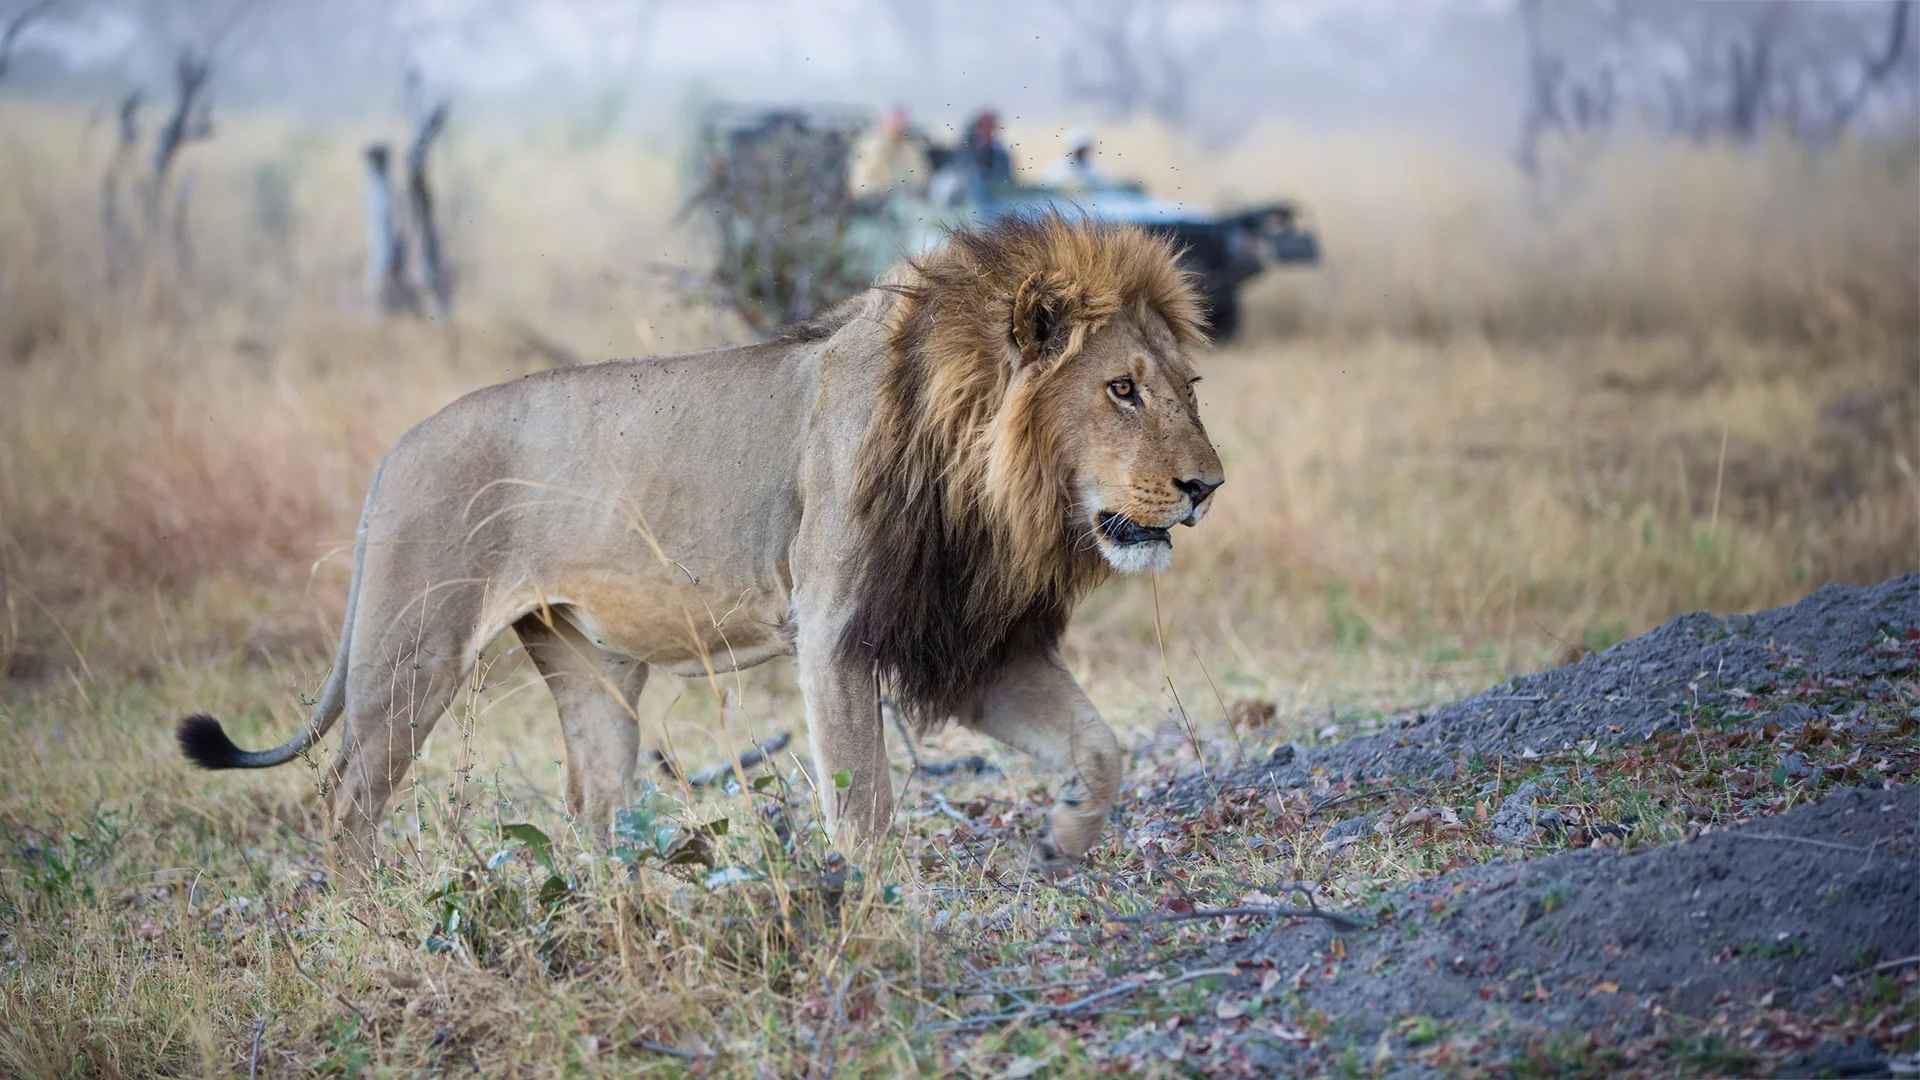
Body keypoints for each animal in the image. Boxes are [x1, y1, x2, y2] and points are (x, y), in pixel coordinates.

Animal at [177, 213, 1225, 867]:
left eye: (1186, 388)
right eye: (1121, 390)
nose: (1206, 488)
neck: (986, 483)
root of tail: (392, 454)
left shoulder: (972, 644)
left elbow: (1101, 746)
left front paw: (1066, 839)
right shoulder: (834, 631)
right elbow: (864, 806)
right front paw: (881, 911)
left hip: (591, 671)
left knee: (590, 804)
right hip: (412, 652)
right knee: (346, 800)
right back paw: (356, 919)